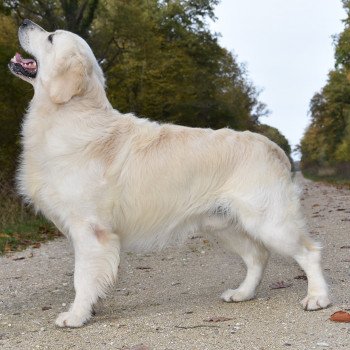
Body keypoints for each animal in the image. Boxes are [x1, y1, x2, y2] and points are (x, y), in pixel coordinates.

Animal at [8, 18, 330, 326]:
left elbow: (81, 278)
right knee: (258, 256)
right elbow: (91, 278)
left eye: (51, 37)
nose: (23, 22)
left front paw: (75, 316)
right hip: (223, 224)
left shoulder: (90, 229)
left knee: (309, 252)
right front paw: (89, 308)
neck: (67, 114)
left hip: (268, 221)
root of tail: (274, 147)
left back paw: (317, 297)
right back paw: (242, 293)